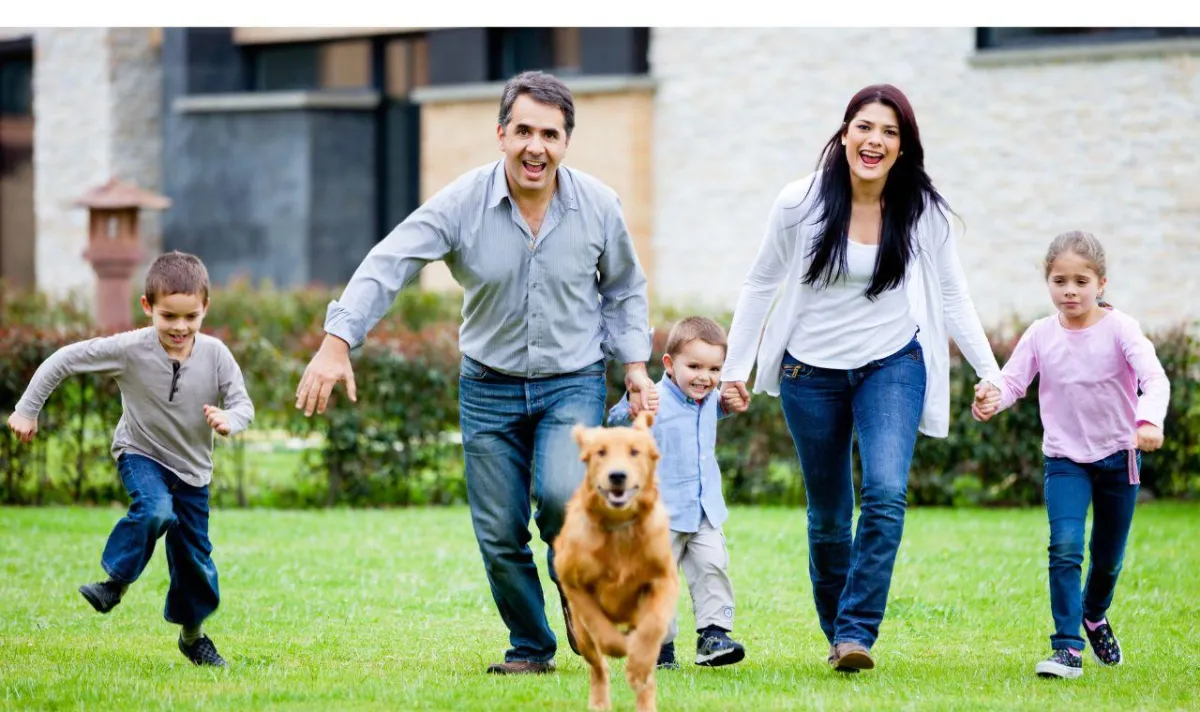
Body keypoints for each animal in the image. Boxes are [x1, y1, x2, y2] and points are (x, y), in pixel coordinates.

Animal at [549, 410, 676, 710]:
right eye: (601, 452)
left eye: (634, 451)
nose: (617, 476)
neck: (619, 528)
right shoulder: (573, 583)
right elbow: (599, 625)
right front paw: (619, 646)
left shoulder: (664, 579)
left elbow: (653, 627)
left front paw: (638, 663)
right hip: (581, 636)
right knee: (598, 668)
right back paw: (599, 701)